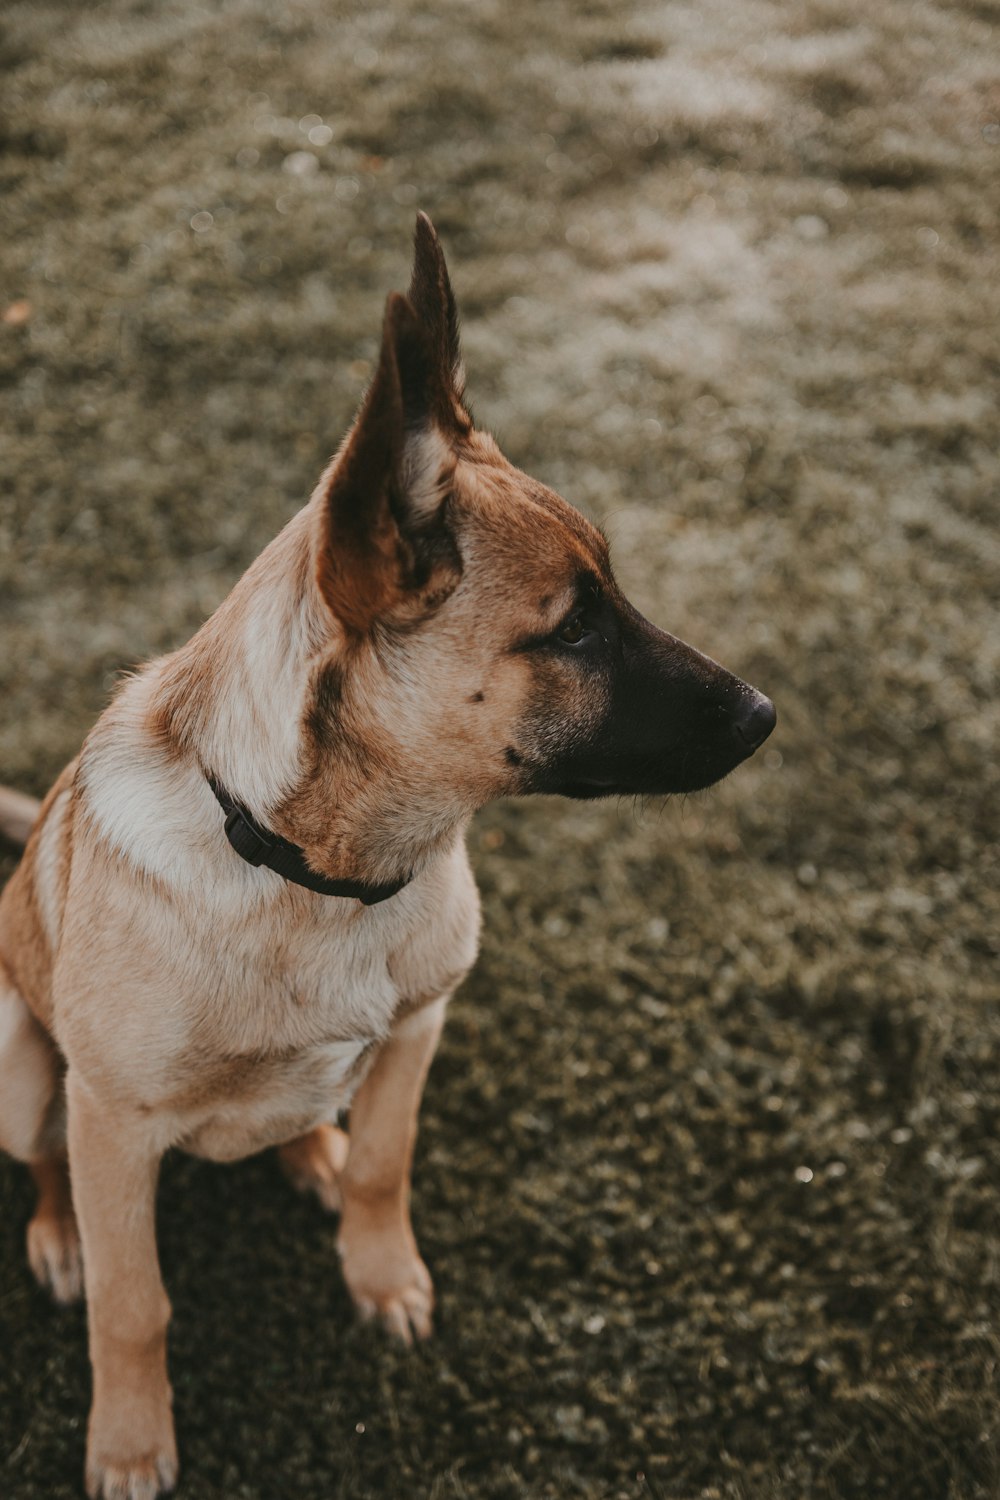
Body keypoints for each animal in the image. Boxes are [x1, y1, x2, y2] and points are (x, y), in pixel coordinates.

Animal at [0, 214, 773, 1500]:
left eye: (611, 592)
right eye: (573, 629)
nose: (766, 714)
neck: (317, 876)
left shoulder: (416, 1032)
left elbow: (384, 1163)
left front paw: (379, 1272)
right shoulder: (113, 1121)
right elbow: (133, 1302)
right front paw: (129, 1440)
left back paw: (308, 1146)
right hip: (20, 1072)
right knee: (46, 1164)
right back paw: (59, 1237)